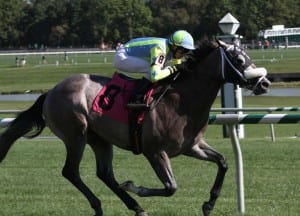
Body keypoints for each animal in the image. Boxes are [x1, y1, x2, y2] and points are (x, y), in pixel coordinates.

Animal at [0, 39, 270, 215]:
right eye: (238, 59)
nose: (265, 83)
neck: (181, 100)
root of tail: (51, 91)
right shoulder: (155, 152)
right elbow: (171, 187)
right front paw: (134, 186)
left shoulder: (191, 146)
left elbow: (223, 161)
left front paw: (209, 204)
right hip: (76, 135)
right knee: (71, 172)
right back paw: (100, 205)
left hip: (99, 139)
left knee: (104, 173)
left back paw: (135, 207)